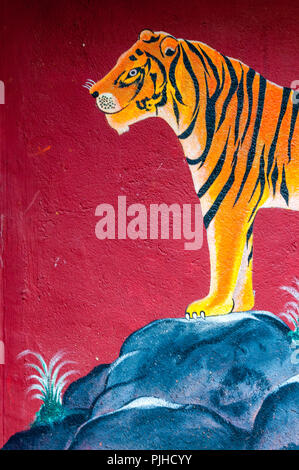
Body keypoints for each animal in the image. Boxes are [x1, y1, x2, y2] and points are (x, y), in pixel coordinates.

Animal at [85, 29, 298, 320]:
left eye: (133, 72)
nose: (93, 92)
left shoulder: (227, 205)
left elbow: (224, 257)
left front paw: (209, 307)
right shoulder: (237, 206)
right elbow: (244, 259)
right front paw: (238, 307)